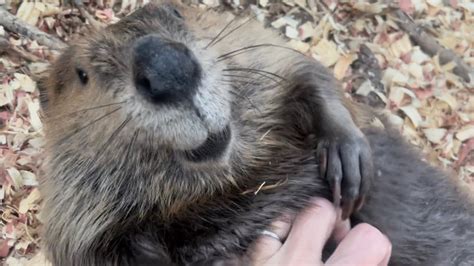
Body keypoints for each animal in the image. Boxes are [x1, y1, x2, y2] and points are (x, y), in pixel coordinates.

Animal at [37, 1, 474, 264]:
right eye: (81, 74)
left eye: (176, 11)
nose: (167, 70)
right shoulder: (79, 225)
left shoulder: (258, 49)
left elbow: (306, 72)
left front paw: (348, 159)